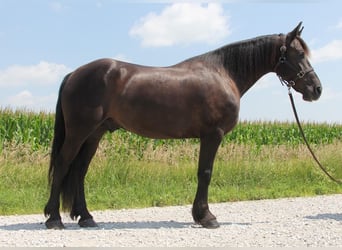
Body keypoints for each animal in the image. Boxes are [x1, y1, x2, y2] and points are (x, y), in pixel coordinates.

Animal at [44, 22, 322, 229]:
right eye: (298, 54)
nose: (316, 89)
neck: (223, 74)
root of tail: (74, 74)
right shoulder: (212, 135)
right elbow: (205, 173)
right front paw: (206, 217)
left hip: (94, 134)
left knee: (79, 170)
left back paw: (86, 217)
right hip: (79, 133)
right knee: (63, 164)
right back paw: (54, 219)